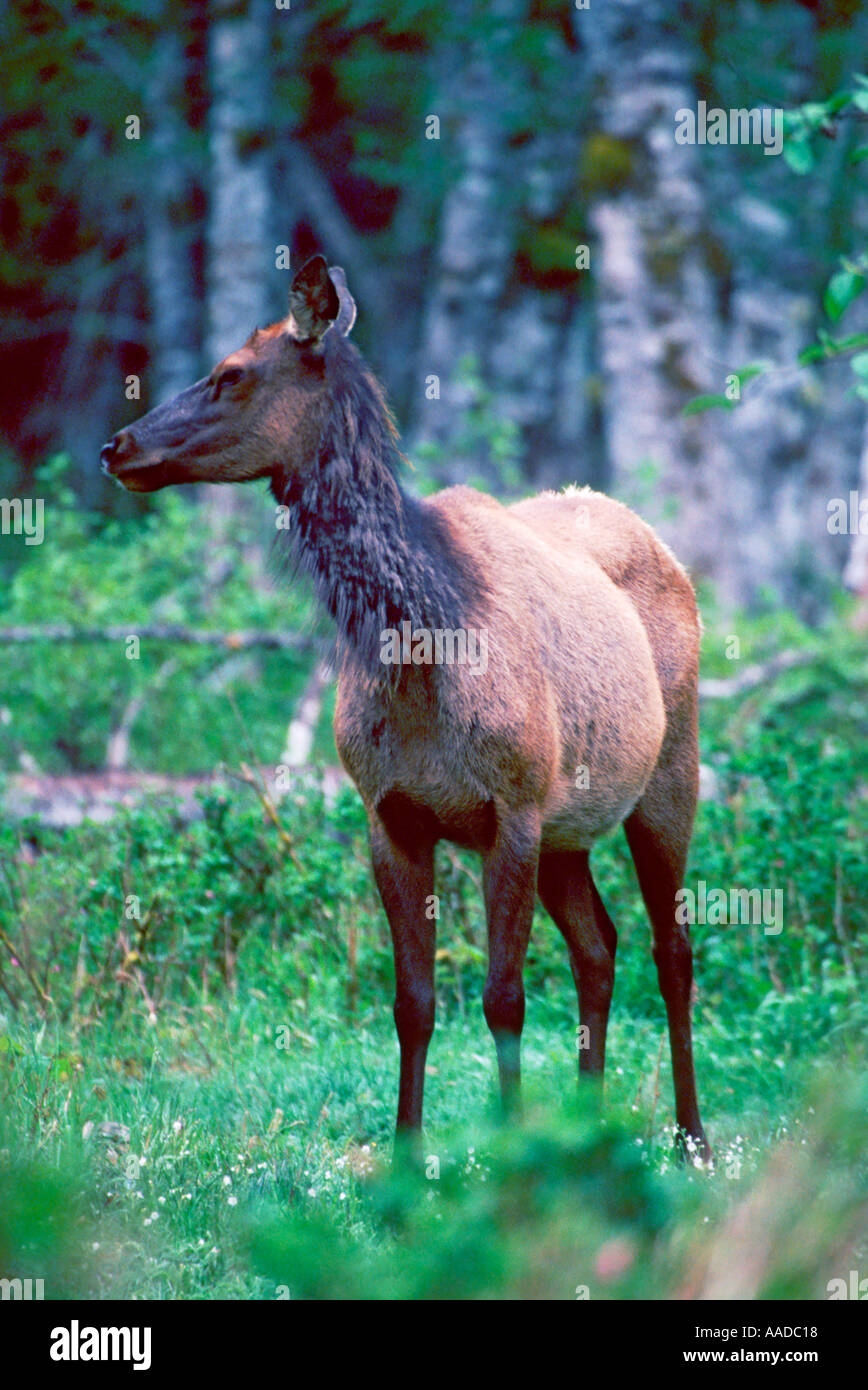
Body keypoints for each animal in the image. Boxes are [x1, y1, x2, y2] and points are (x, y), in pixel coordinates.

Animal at [101, 255, 711, 1162]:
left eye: (231, 372)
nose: (119, 445)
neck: (423, 647)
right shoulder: (390, 812)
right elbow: (412, 1003)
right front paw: (406, 1157)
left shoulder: (512, 808)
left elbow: (501, 999)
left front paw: (509, 1148)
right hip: (570, 823)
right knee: (598, 946)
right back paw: (588, 1126)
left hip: (667, 776)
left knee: (674, 948)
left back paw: (692, 1137)